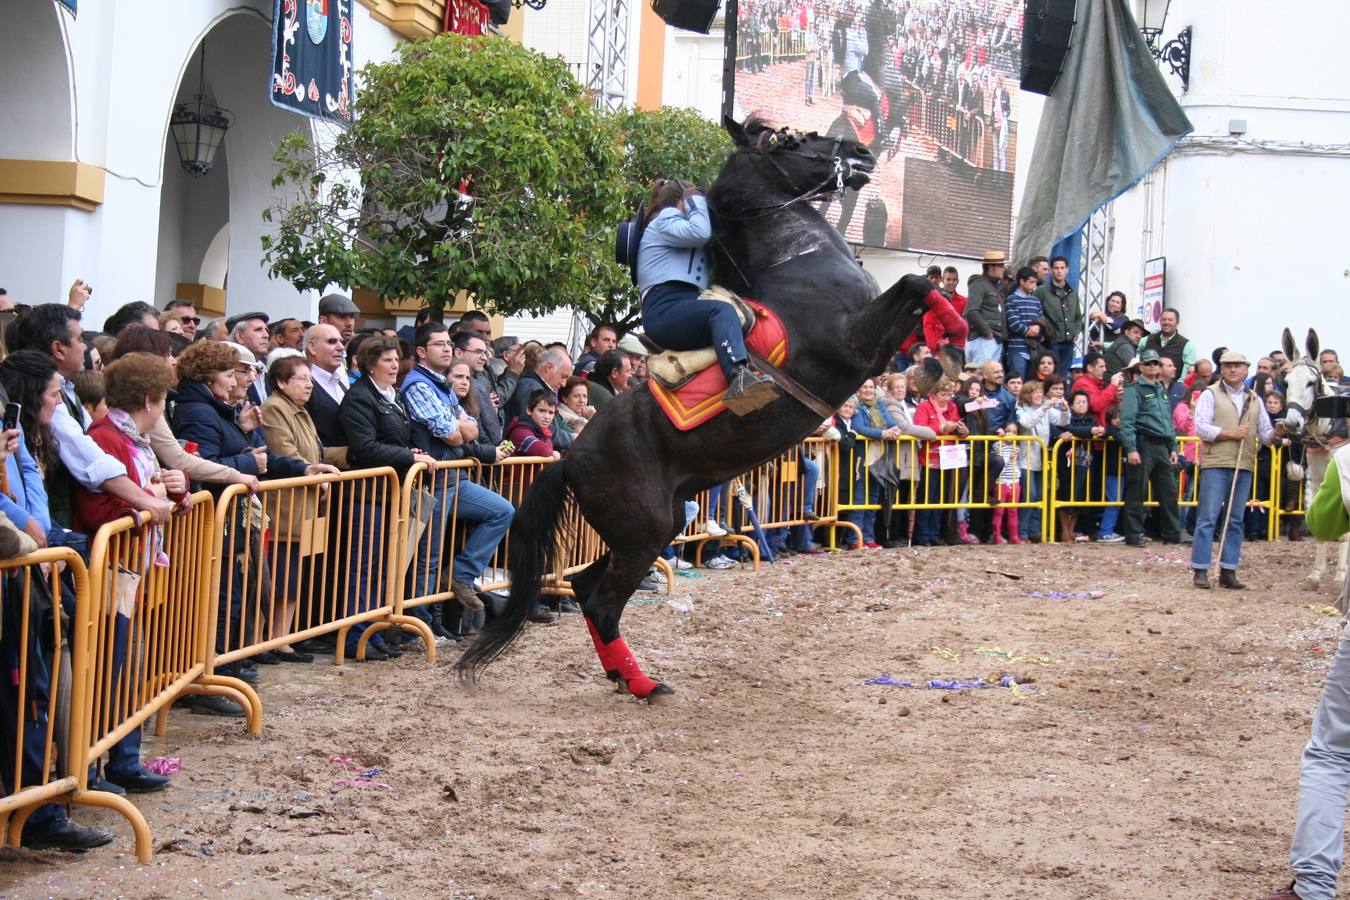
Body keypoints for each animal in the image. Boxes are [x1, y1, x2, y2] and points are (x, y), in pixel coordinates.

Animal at [464, 116, 961, 701]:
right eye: (788, 139)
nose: (860, 152)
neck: (797, 261)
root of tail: (570, 458)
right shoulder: (858, 345)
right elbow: (917, 281)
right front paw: (953, 342)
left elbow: (918, 295)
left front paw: (945, 348)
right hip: (646, 528)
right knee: (603, 601)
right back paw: (643, 684)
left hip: (649, 527)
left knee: (587, 587)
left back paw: (622, 673)